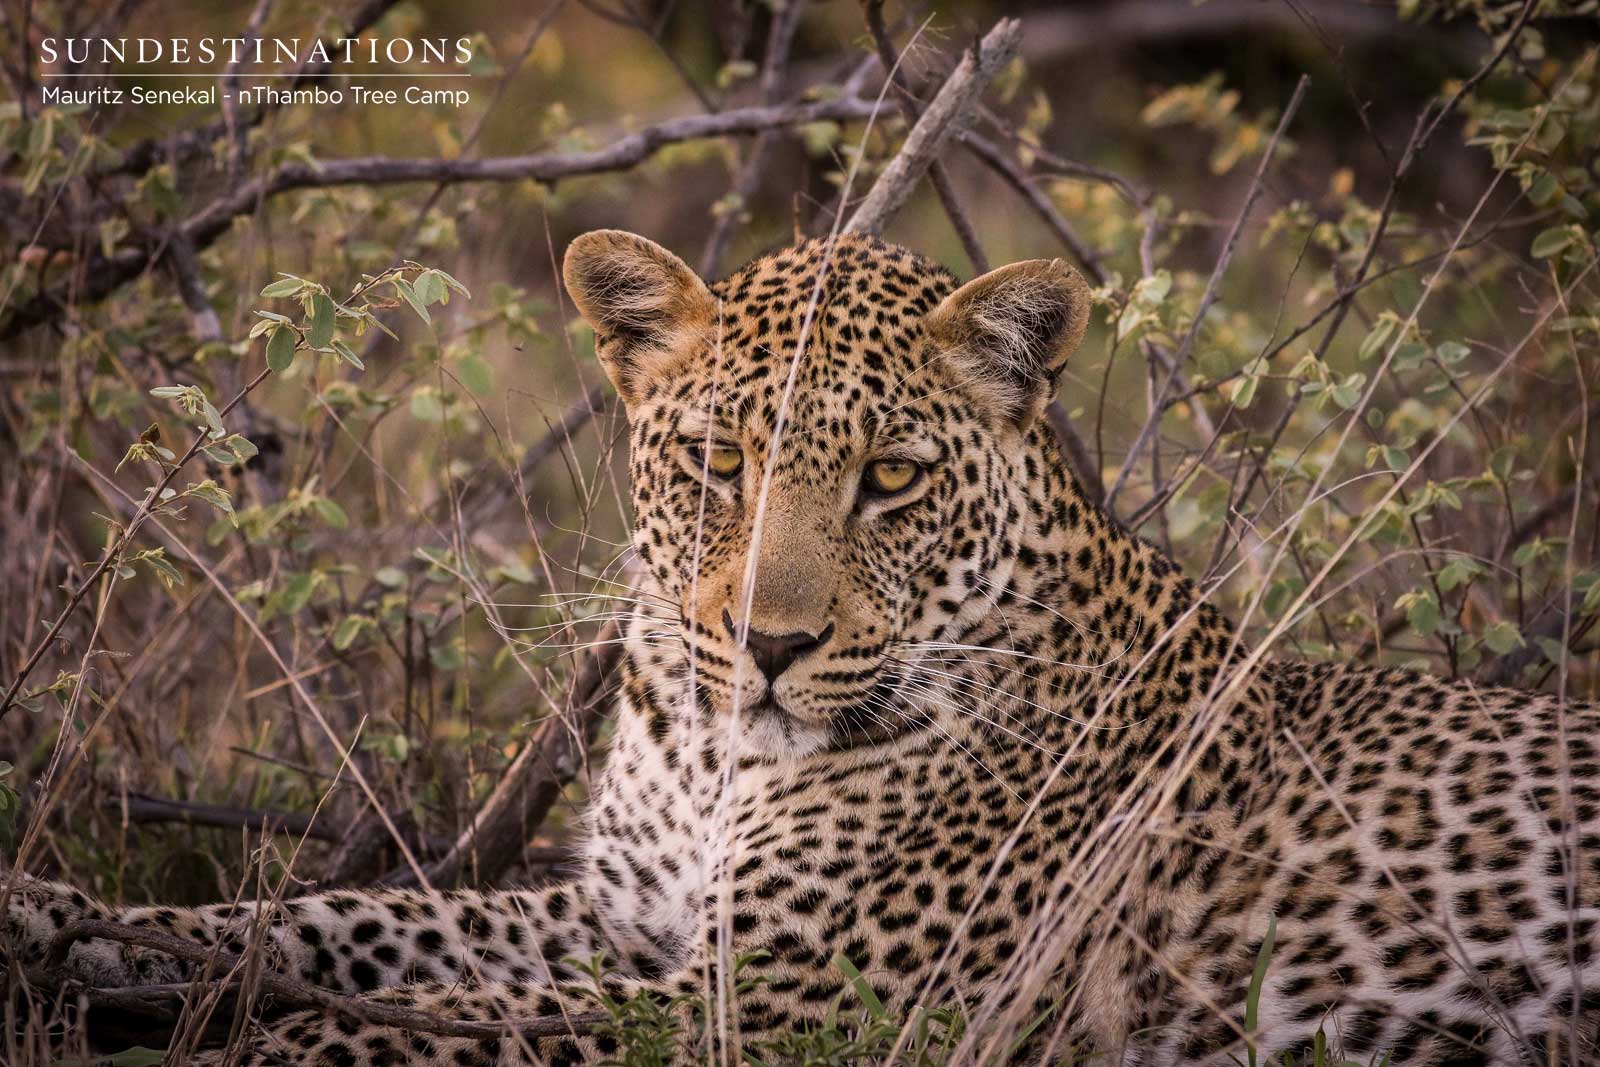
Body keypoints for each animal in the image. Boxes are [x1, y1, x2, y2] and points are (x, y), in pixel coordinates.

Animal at [5, 230, 1598, 1065]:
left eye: (890, 478)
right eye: (719, 461)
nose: (770, 643)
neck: (712, 753)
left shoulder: (791, 1001)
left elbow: (468, 1009)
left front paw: (265, 1043)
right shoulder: (625, 913)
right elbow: (342, 918)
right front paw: (63, 919)